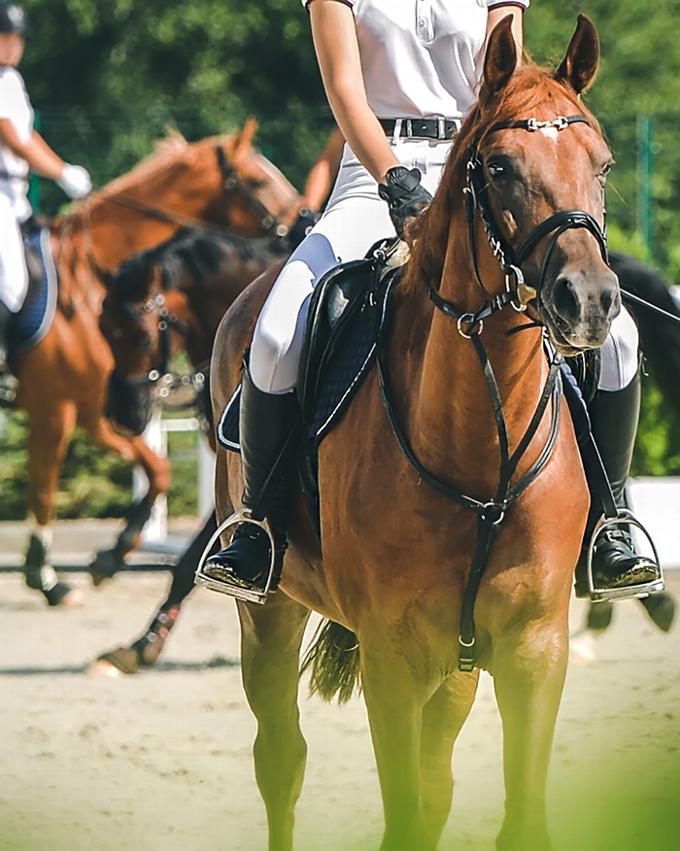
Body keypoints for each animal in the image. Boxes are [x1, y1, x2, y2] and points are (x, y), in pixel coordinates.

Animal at [7, 120, 300, 608]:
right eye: (258, 181)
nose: (305, 218)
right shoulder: (64, 407)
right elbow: (46, 490)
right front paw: (49, 577)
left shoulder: (80, 408)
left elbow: (155, 470)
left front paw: (107, 556)